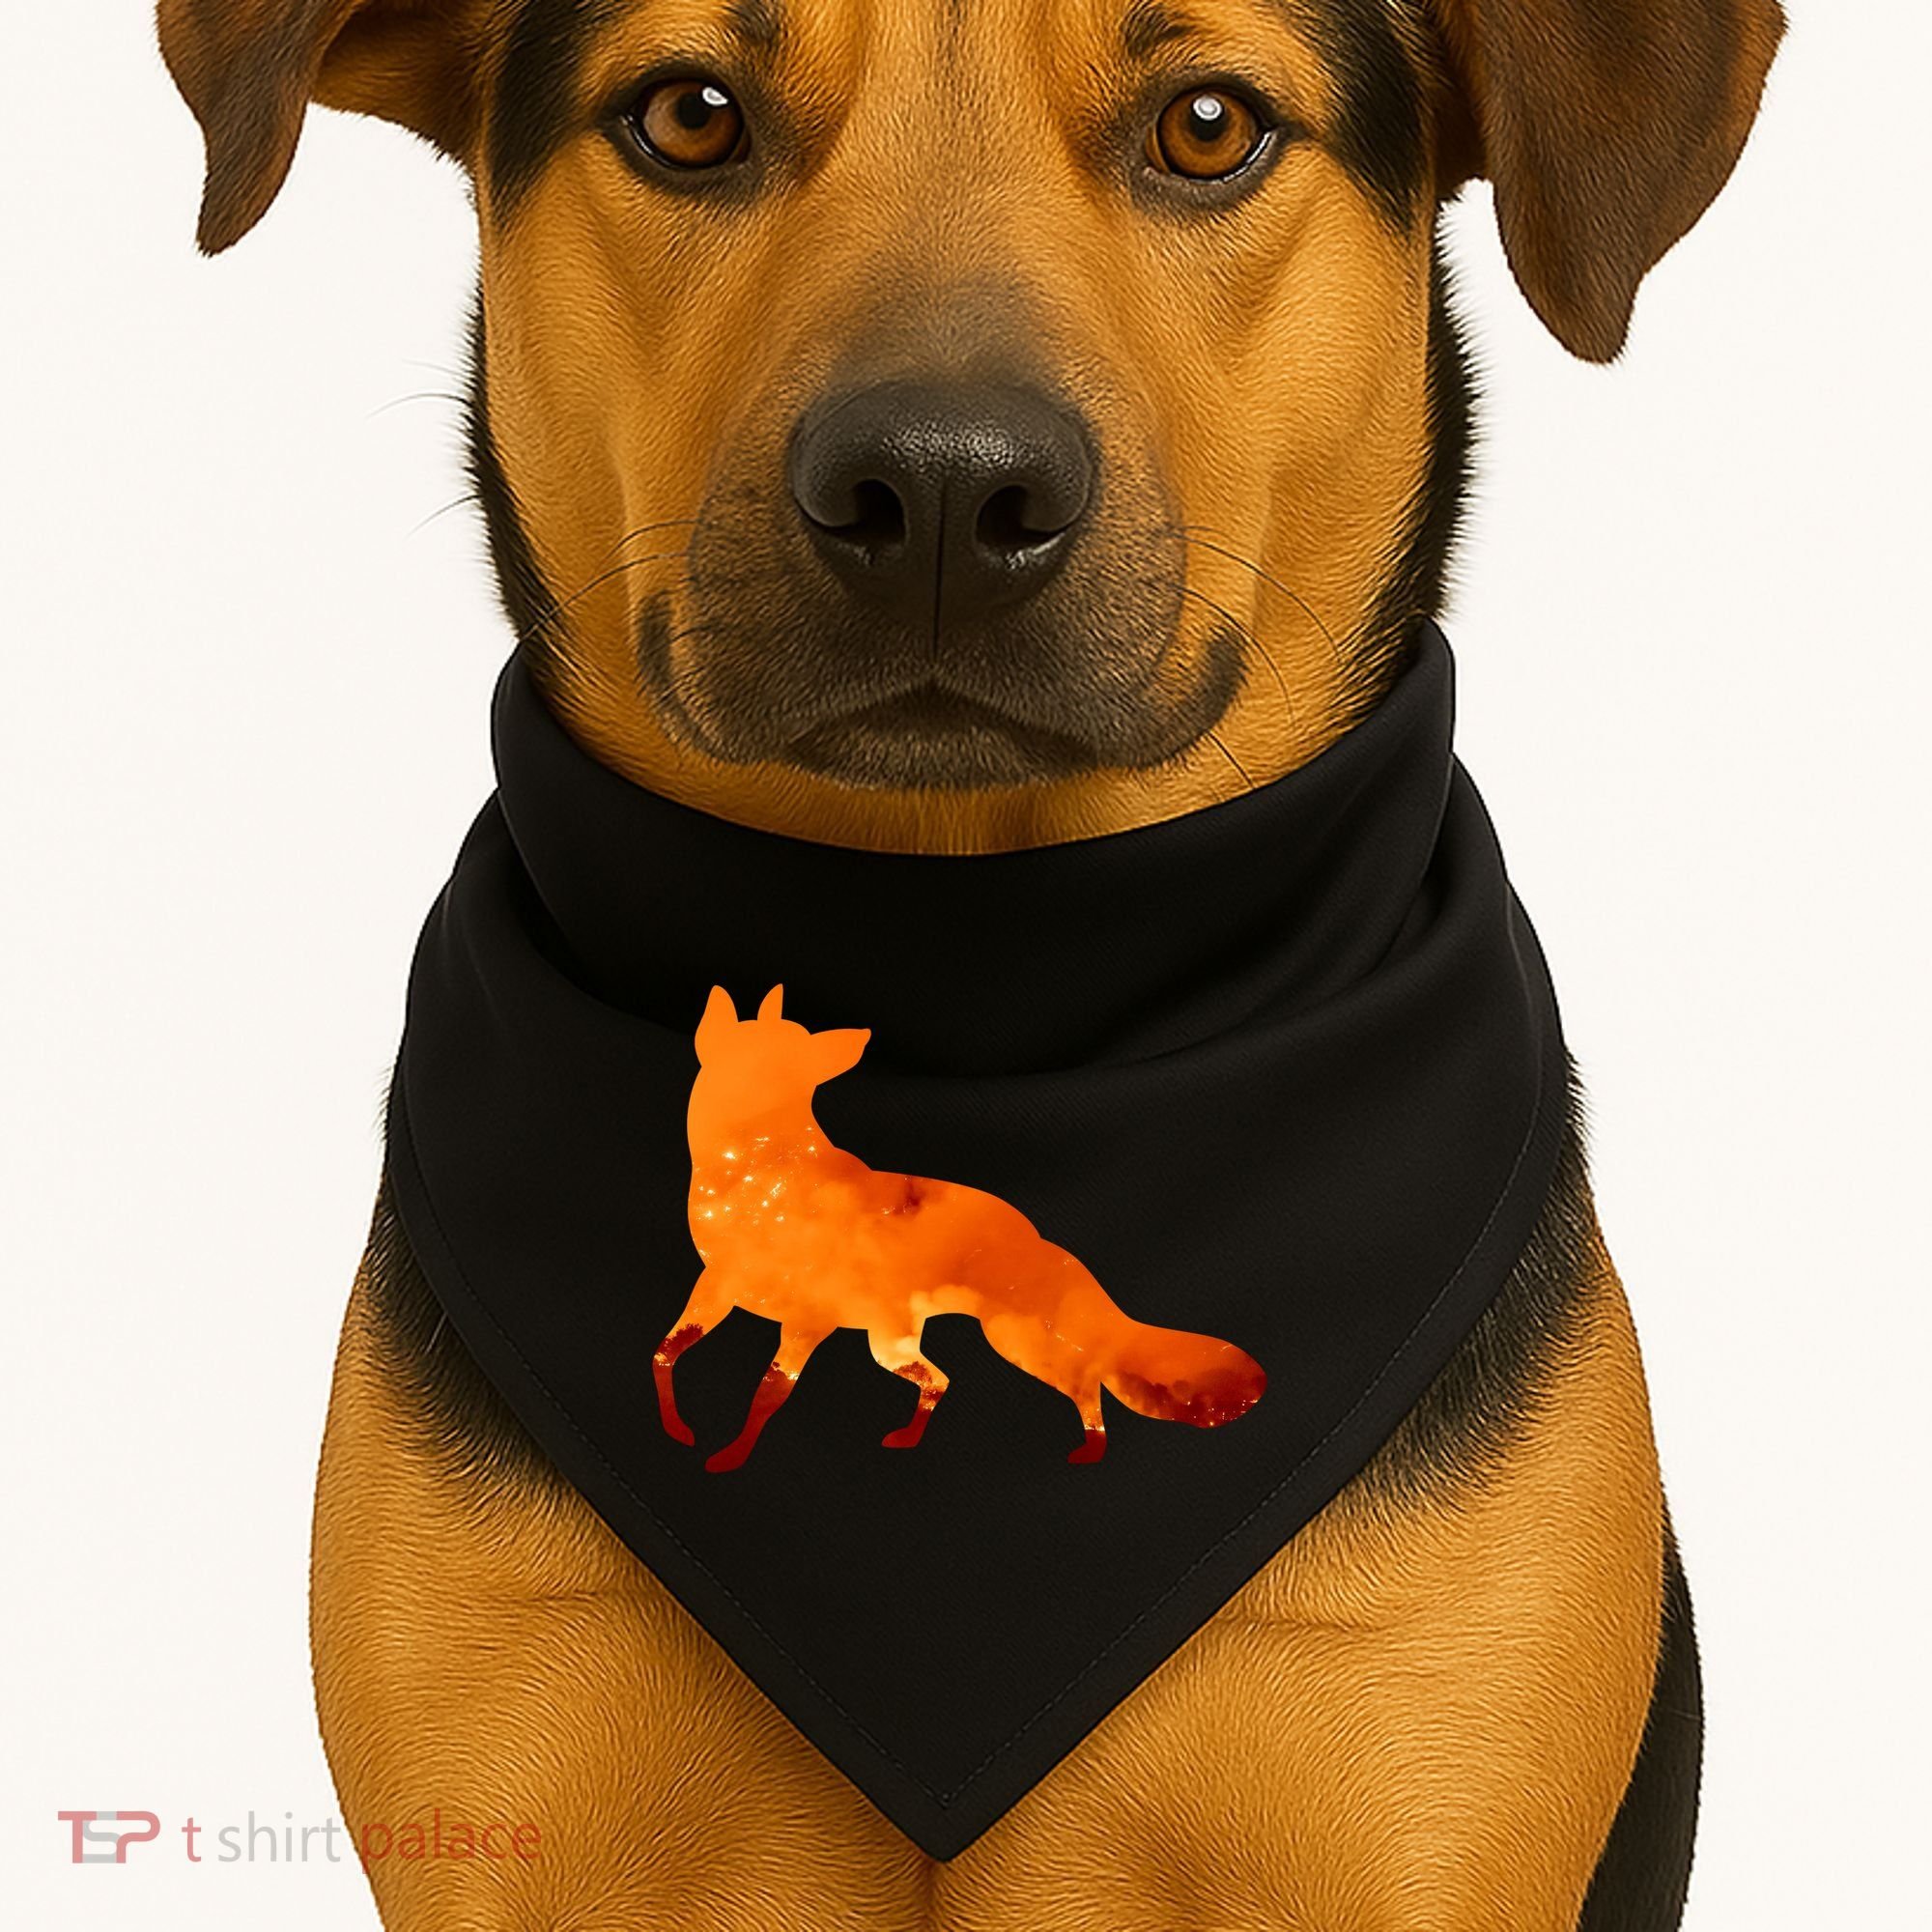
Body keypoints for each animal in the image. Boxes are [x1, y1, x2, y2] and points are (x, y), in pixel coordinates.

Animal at [653, 984, 1267, 1472]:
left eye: (785, 1055)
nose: (721, 1055)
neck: (762, 1169)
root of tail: (1045, 1244)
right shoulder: (715, 1290)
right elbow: (663, 1355)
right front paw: (676, 1431)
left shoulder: (807, 1322)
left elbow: (766, 1395)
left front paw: (731, 1456)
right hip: (890, 1345)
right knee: (944, 1380)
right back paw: (908, 1440)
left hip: (1019, 1346)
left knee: (1086, 1385)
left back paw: (1090, 1450)